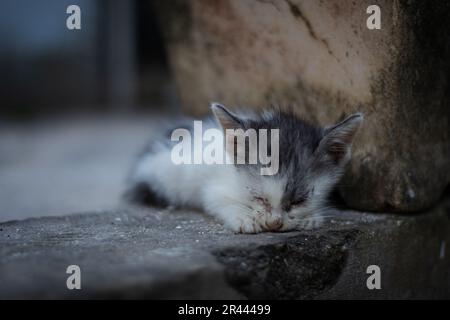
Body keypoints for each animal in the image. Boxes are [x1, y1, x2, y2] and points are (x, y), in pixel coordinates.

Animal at [126, 104, 362, 234]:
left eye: (299, 200)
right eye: (258, 197)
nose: (275, 223)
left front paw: (310, 217)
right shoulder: (213, 187)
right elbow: (216, 200)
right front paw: (243, 216)